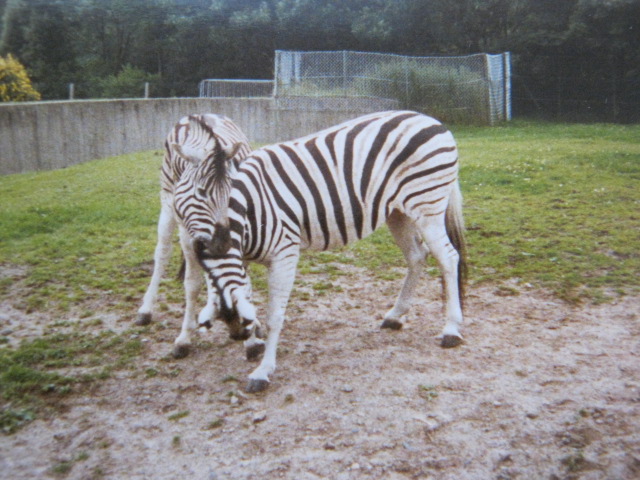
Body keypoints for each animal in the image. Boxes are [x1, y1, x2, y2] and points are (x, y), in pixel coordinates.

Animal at [136, 114, 252, 353]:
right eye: (201, 192)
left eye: (230, 190)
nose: (222, 244)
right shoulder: (188, 233)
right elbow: (192, 283)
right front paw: (184, 338)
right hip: (167, 205)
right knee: (162, 253)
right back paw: (146, 309)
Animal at [173, 110, 467, 392]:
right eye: (199, 193)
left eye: (223, 193)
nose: (217, 244)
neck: (249, 214)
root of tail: (431, 120)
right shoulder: (240, 258)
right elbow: (244, 292)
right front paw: (254, 344)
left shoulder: (284, 253)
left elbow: (274, 316)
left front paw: (263, 370)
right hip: (397, 212)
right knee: (417, 256)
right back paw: (395, 316)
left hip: (427, 206)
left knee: (449, 258)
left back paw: (451, 330)